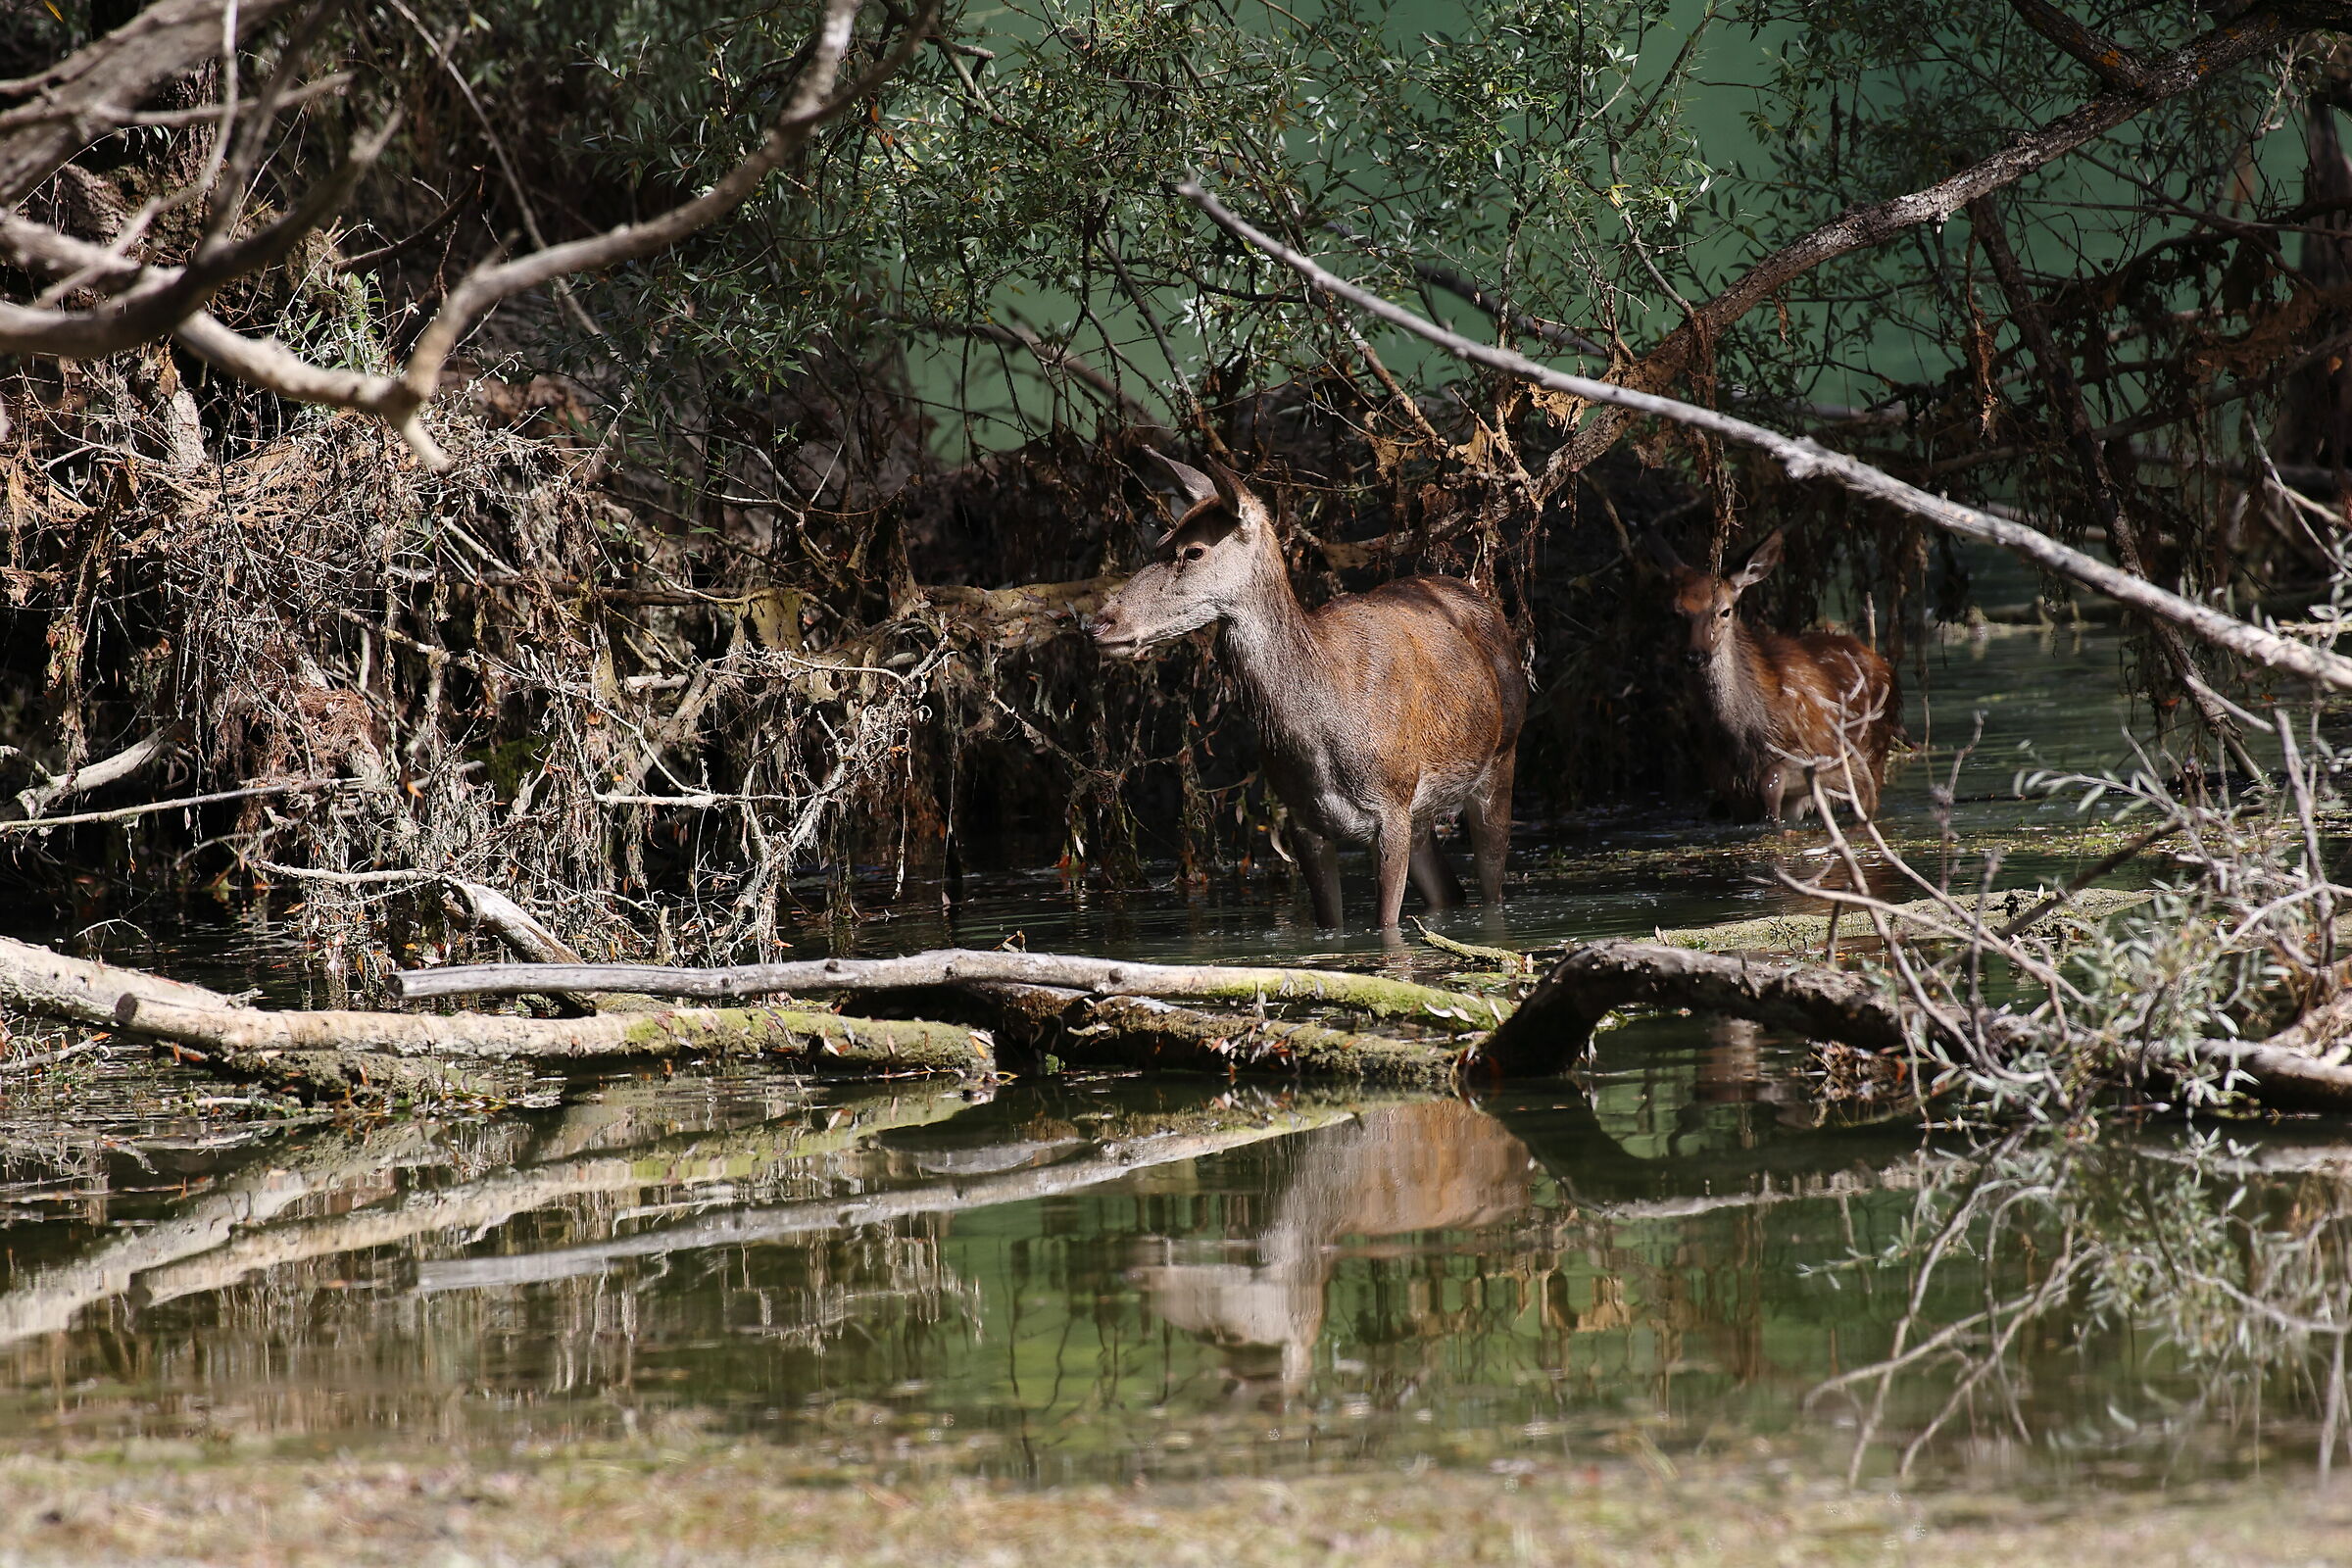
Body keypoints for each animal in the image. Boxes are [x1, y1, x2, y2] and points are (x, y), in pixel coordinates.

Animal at [1089, 453, 1523, 932]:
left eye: (1193, 551)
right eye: (1159, 542)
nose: (1099, 624)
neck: (1319, 731)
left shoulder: (1391, 806)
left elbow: (1386, 925)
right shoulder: (1302, 820)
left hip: (1500, 758)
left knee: (1491, 890)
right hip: (1423, 813)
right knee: (1450, 892)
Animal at [1645, 528, 1902, 824]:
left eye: (1724, 611)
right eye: (1674, 612)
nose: (1694, 656)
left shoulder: (1827, 753)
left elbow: (1772, 777)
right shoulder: (1727, 786)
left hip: (1874, 756)